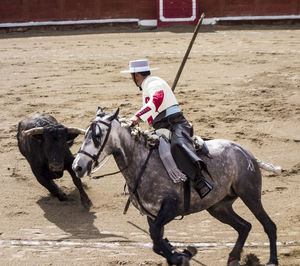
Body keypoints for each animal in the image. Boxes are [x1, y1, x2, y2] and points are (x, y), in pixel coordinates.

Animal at [71, 108, 278, 266]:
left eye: (97, 136)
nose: (77, 166)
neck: (141, 162)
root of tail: (245, 152)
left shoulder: (170, 208)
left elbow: (156, 236)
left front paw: (182, 256)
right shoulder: (152, 214)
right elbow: (156, 241)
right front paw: (181, 254)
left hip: (250, 194)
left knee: (268, 225)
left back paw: (272, 261)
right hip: (219, 207)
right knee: (244, 226)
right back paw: (234, 257)